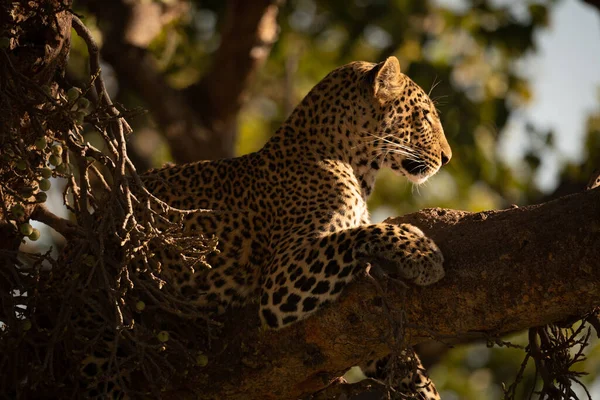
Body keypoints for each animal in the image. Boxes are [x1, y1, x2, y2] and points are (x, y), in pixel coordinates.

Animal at [84, 54, 452, 398]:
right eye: (425, 116)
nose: (447, 158)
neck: (356, 167)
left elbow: (398, 356)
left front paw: (424, 388)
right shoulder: (282, 280)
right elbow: (357, 233)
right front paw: (421, 253)